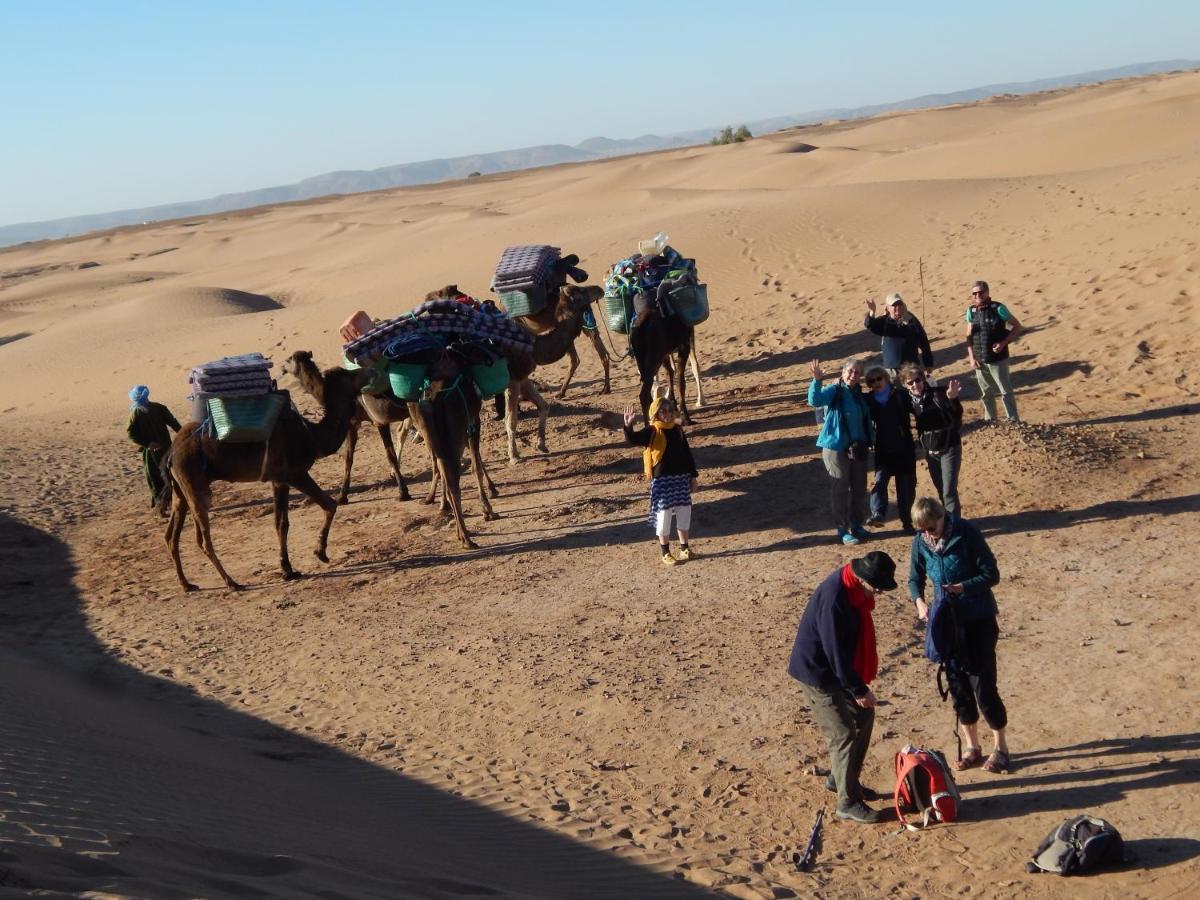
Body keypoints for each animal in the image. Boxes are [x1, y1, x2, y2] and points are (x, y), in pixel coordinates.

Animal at [162, 367, 369, 592]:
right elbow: (328, 505)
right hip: (194, 483)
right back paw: (232, 582)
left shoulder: (278, 480)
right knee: (203, 539)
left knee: (171, 536)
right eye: (349, 376)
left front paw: (289, 569)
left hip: (180, 490)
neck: (312, 436)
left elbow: (281, 522)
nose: (368, 371)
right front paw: (318, 554)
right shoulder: (294, 474)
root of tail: (171, 454)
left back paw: (187, 584)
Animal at [280, 350, 412, 504]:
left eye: (289, 359)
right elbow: (348, 458)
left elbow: (389, 455)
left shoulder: (377, 421)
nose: (282, 367)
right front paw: (342, 496)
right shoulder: (353, 423)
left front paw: (403, 493)